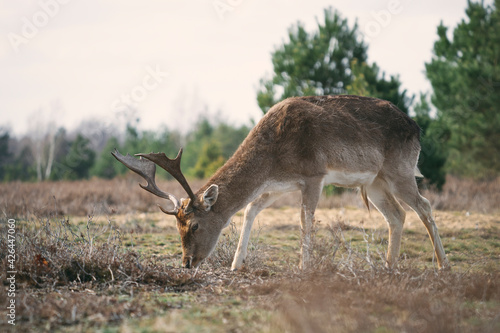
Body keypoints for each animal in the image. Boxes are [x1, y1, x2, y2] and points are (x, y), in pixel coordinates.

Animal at [112, 94, 450, 272]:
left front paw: (304, 267)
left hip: (400, 170)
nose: (187, 262)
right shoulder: (277, 186)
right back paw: (388, 266)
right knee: (397, 214)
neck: (273, 159)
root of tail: (417, 128)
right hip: (376, 182)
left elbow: (305, 220)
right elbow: (250, 210)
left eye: (194, 225)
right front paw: (236, 264)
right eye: (177, 226)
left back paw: (442, 264)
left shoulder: (314, 175)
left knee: (424, 206)